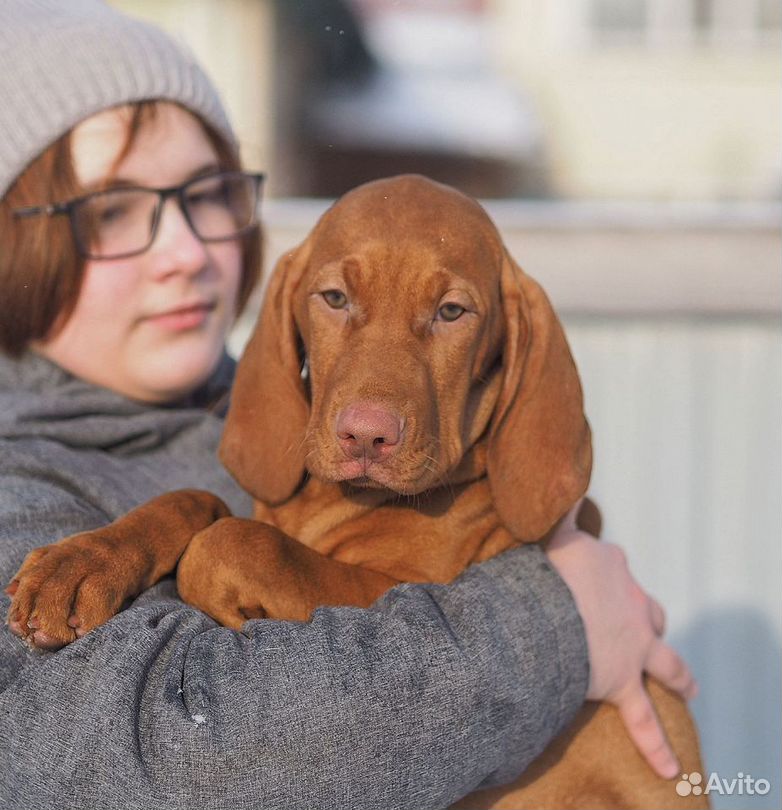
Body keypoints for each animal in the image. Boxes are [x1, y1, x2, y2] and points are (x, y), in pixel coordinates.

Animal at [6, 175, 712, 808]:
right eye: (335, 298)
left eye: (452, 312)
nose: (366, 437)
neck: (338, 502)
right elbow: (194, 501)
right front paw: (78, 565)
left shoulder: (404, 586)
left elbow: (238, 541)